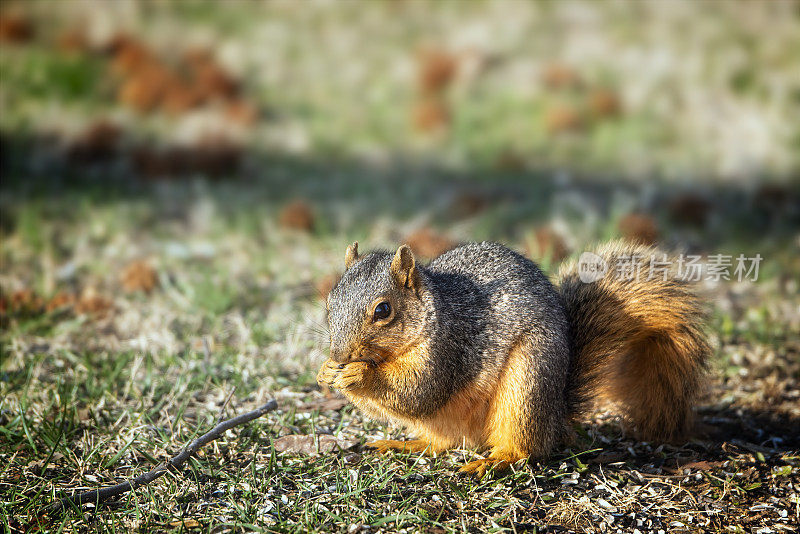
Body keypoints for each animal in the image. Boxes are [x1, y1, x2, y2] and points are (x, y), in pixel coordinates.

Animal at [316, 240, 708, 478]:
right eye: (330, 301)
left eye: (383, 310)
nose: (339, 354)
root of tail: (557, 415)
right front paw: (326, 371)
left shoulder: (449, 349)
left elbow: (419, 392)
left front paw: (357, 376)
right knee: (442, 442)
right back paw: (403, 443)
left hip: (527, 382)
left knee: (525, 449)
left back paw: (496, 460)